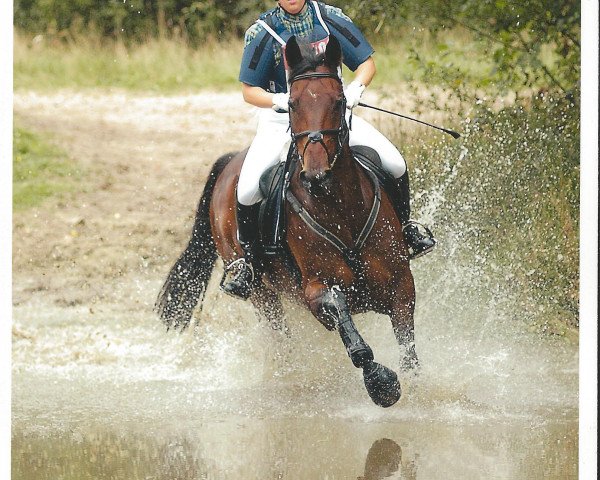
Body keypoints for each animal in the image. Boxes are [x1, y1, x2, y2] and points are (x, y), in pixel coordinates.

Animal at [155, 35, 418, 406]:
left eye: (340, 101)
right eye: (291, 104)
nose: (316, 176)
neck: (340, 209)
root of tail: (230, 161)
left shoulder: (401, 283)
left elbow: (408, 345)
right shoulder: (314, 290)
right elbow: (348, 327)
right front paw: (382, 384)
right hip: (262, 294)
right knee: (280, 341)